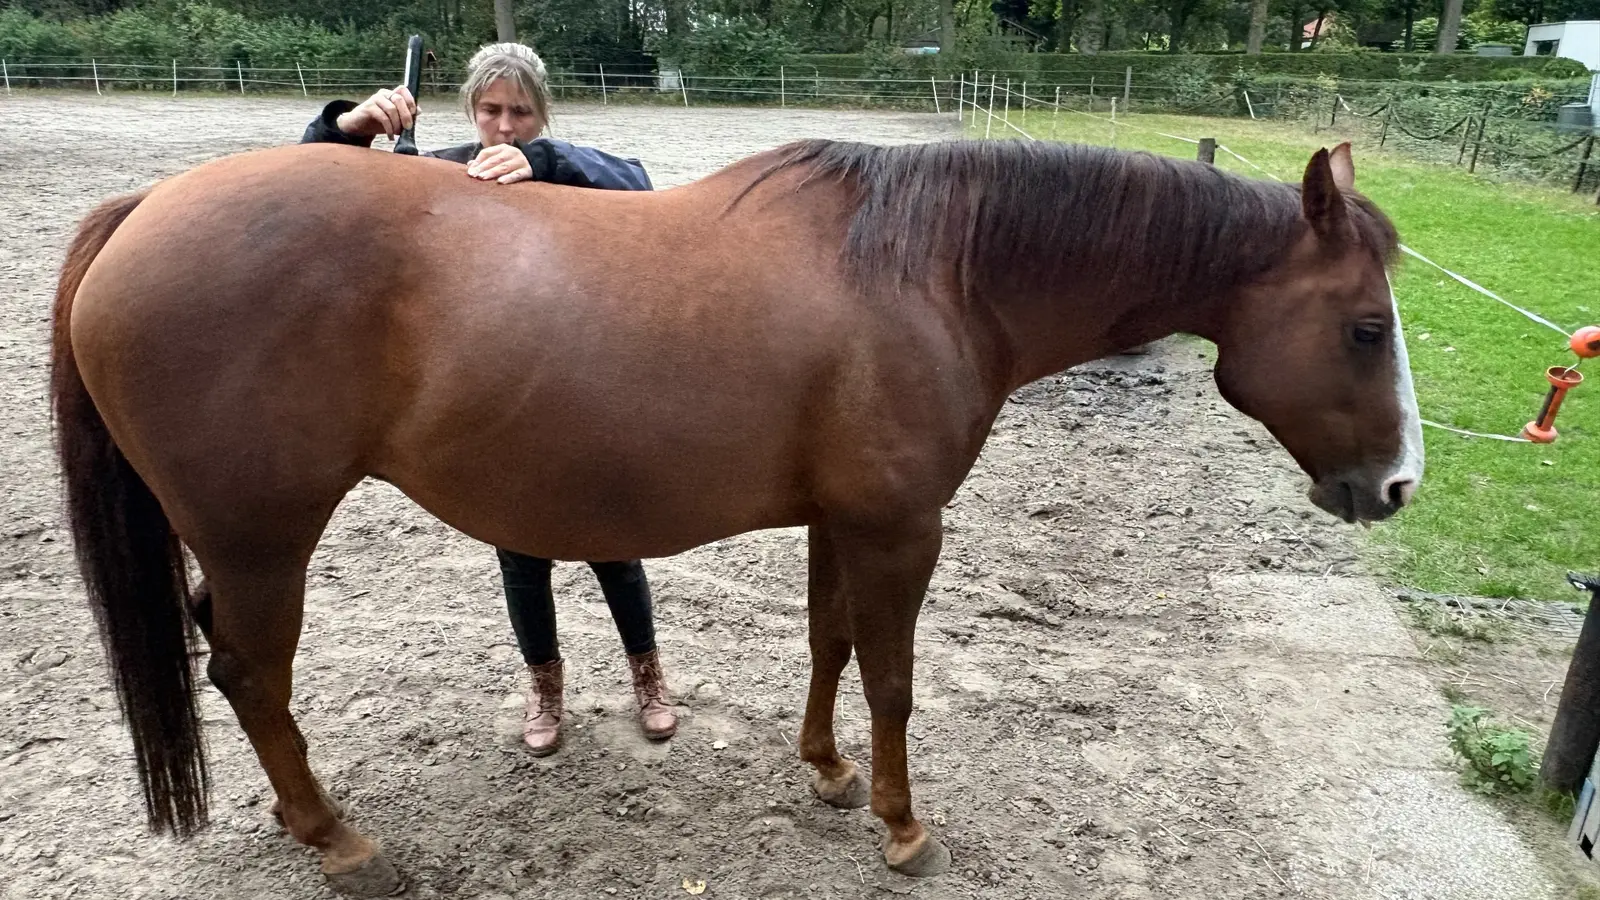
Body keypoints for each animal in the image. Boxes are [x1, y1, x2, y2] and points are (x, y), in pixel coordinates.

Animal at [51, 136, 1421, 895]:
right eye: (1365, 327)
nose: (1398, 486)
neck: (935, 272)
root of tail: (142, 212)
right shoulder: (902, 530)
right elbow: (893, 681)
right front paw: (902, 827)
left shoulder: (843, 522)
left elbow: (828, 647)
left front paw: (825, 774)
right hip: (263, 540)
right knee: (250, 676)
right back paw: (340, 844)